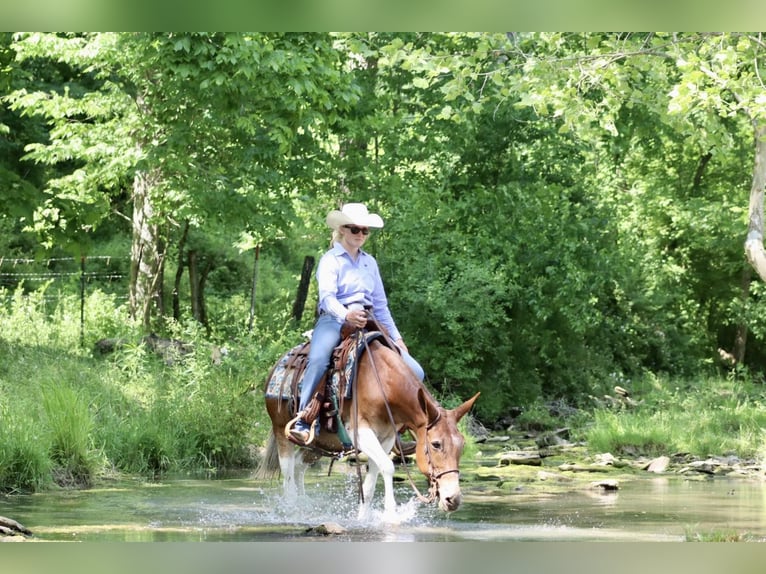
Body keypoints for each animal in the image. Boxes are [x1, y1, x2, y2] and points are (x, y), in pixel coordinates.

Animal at [258, 330, 480, 520]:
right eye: (435, 444)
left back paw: (304, 507)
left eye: (462, 445)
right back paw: (291, 508)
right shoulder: (361, 433)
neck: (381, 385)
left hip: (319, 444)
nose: (453, 499)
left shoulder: (386, 438)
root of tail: (276, 368)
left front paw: (363, 518)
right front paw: (391, 516)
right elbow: (388, 467)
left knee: (298, 466)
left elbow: (372, 479)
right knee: (287, 471)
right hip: (281, 431)